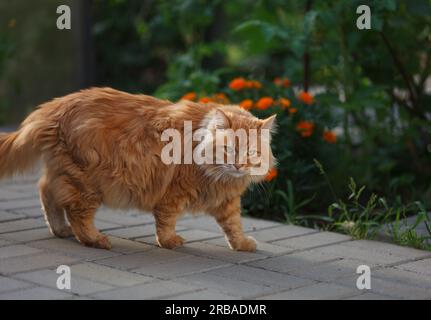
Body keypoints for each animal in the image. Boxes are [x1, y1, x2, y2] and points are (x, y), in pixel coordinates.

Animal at [0, 87, 276, 250]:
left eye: (251, 152)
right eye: (229, 149)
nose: (238, 165)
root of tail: (53, 107)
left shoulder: (227, 202)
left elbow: (234, 225)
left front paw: (242, 244)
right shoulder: (173, 193)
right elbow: (166, 221)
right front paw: (169, 242)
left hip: (64, 173)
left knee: (46, 193)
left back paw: (60, 230)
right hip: (87, 183)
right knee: (77, 214)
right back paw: (96, 240)